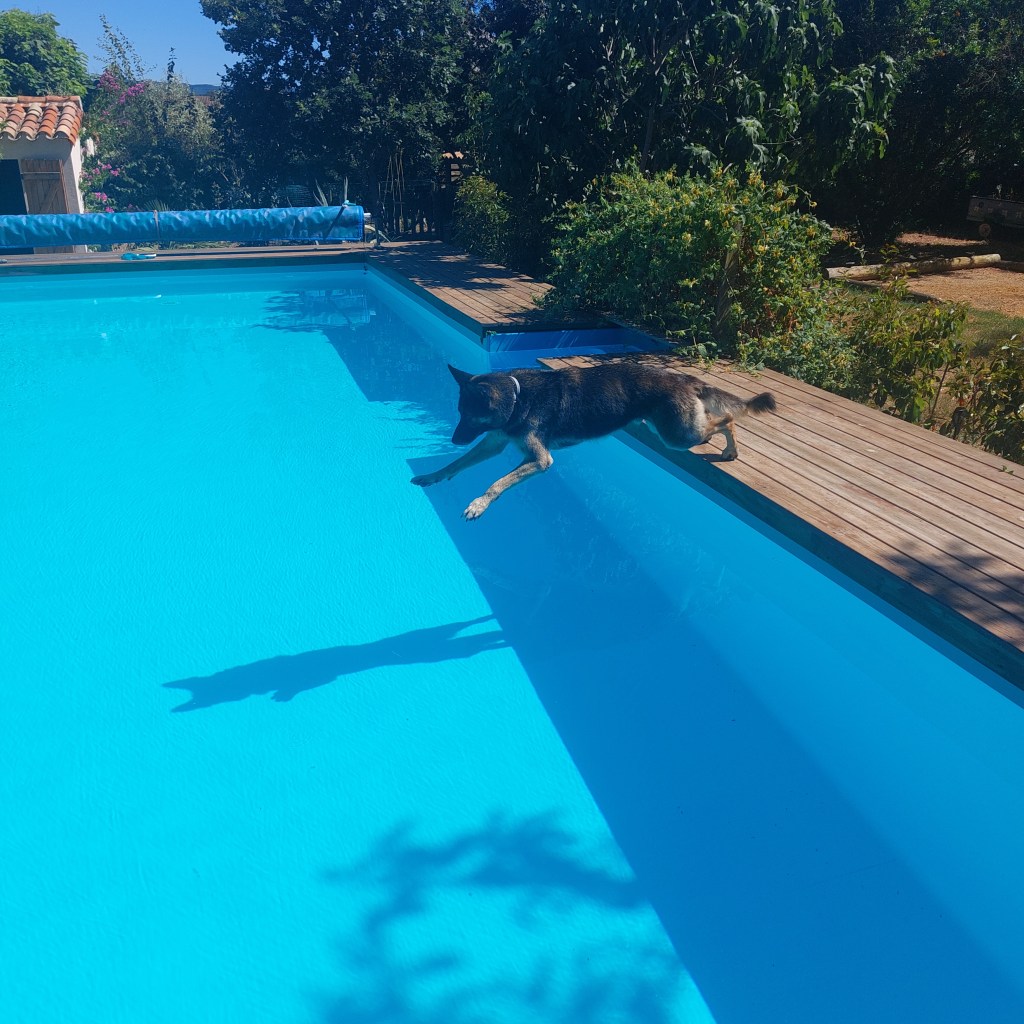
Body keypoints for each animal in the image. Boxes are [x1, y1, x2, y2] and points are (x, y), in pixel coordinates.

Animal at [411, 360, 776, 520]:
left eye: (466, 415)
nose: (454, 439)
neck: (517, 397)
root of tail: (684, 378)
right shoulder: (494, 442)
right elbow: (457, 464)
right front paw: (433, 475)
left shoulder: (539, 460)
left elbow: (496, 483)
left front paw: (480, 503)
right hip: (668, 431)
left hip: (679, 436)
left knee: (728, 419)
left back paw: (731, 450)